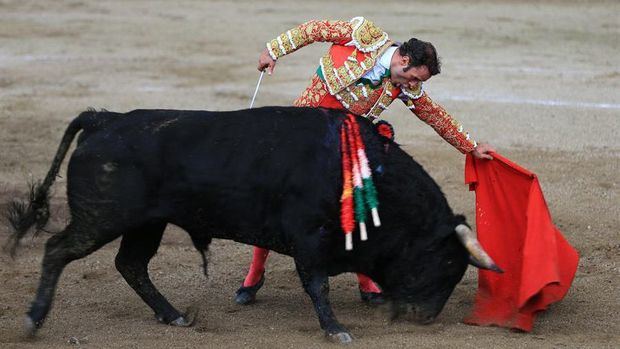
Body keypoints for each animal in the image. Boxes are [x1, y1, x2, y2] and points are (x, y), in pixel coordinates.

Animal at [4, 106, 502, 342]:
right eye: (445, 263)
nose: (426, 318)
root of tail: (104, 119)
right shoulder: (309, 239)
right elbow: (317, 284)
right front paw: (336, 329)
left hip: (147, 223)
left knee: (131, 264)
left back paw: (174, 316)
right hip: (102, 217)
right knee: (58, 251)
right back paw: (32, 320)